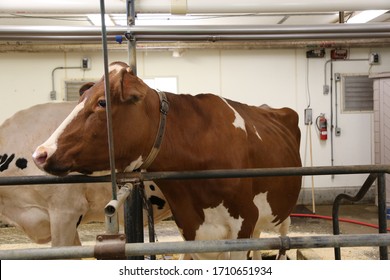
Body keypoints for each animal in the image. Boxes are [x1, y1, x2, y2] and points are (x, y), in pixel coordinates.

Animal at [33, 60, 302, 258]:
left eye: (102, 102)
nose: (40, 153)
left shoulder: (242, 224)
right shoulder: (192, 230)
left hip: (282, 215)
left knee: (282, 243)